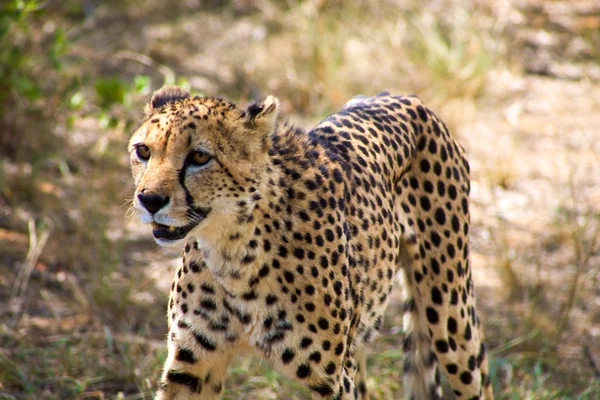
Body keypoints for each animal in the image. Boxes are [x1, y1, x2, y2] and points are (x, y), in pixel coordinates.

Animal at [129, 86, 494, 398]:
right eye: (143, 151)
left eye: (199, 157)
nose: (149, 200)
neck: (233, 252)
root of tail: (402, 96)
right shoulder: (191, 368)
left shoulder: (332, 380)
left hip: (451, 315)